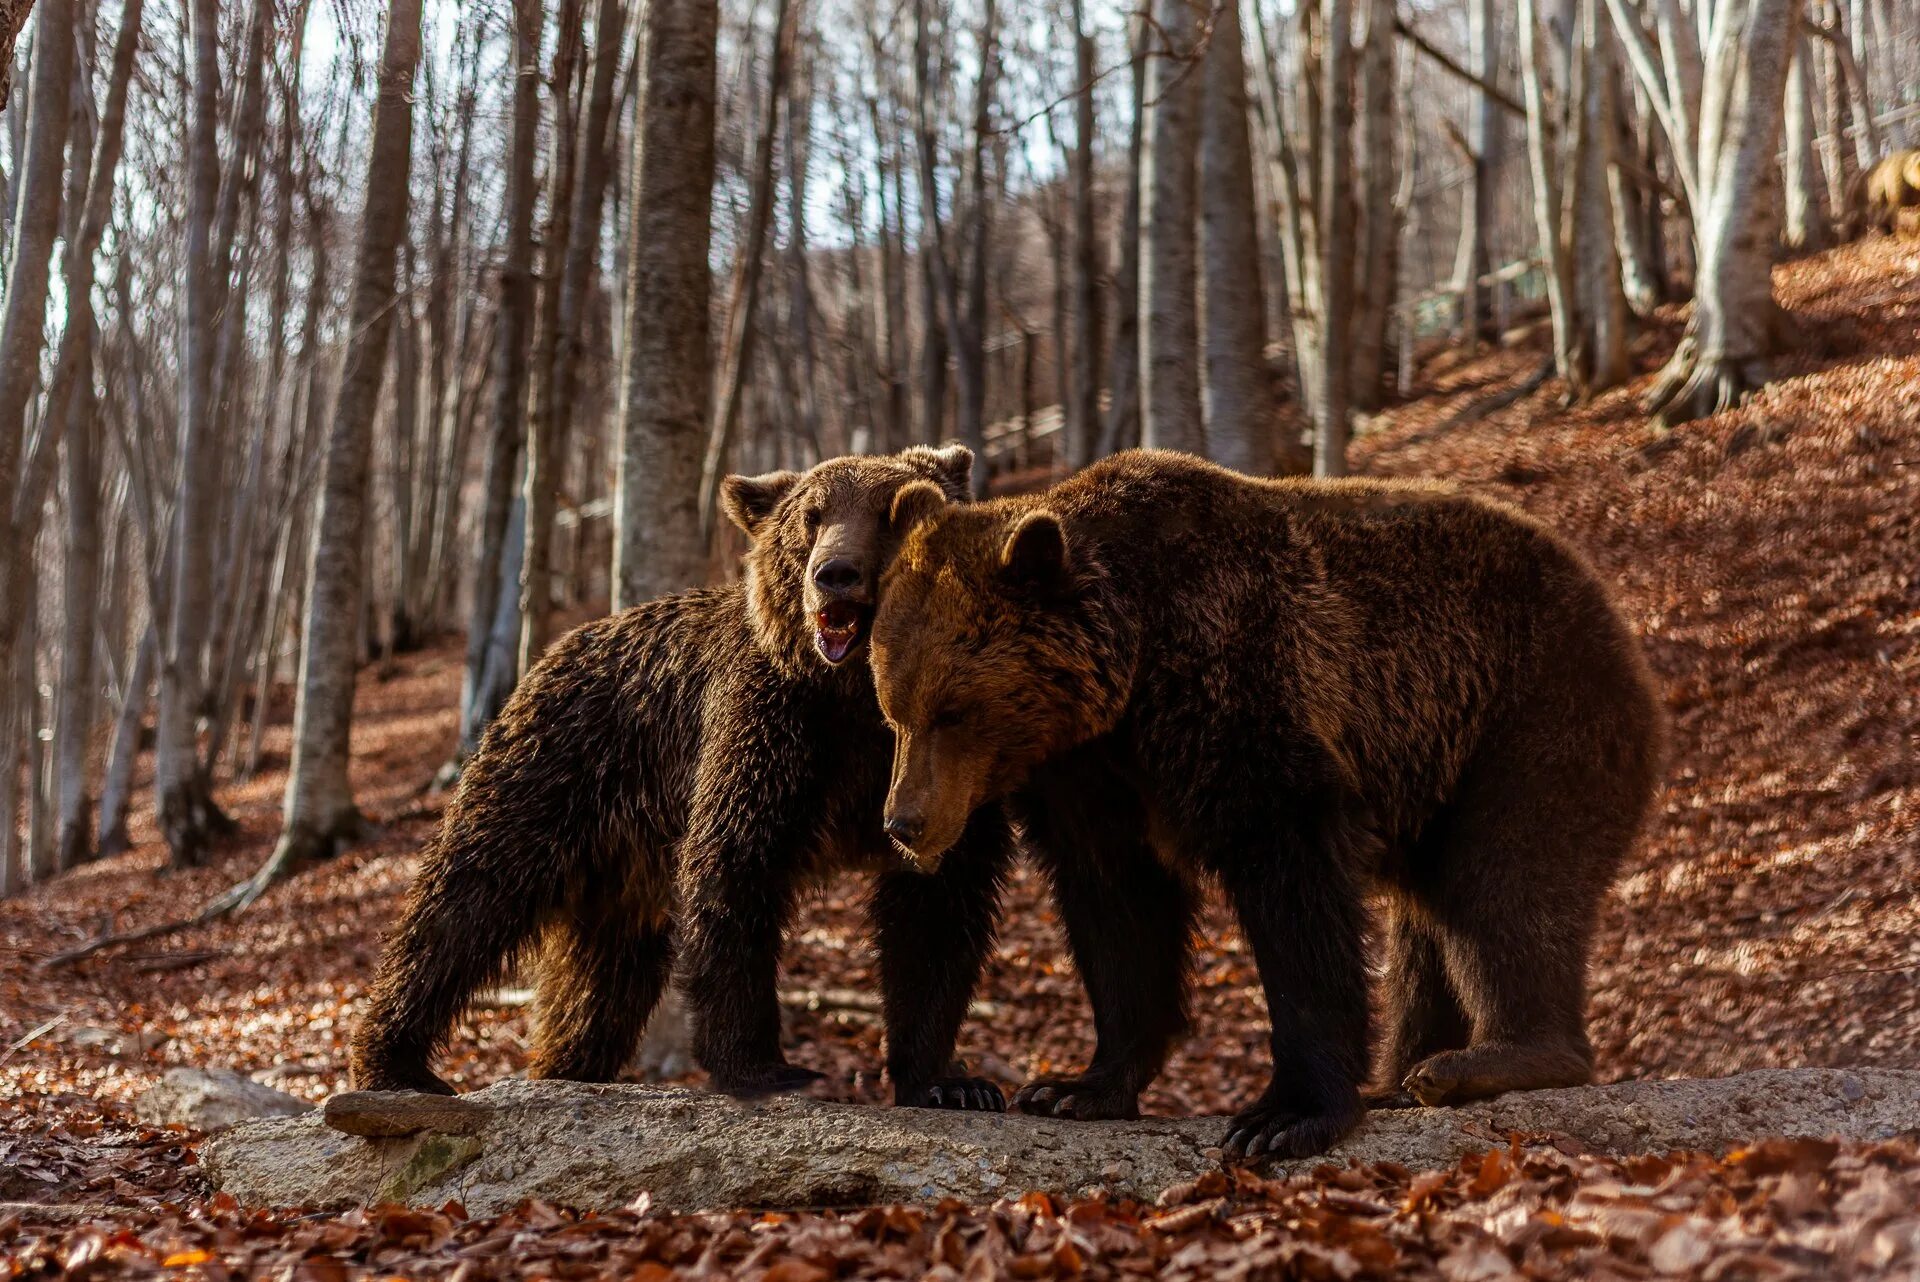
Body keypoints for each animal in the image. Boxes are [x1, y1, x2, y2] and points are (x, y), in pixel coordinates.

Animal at [347, 449, 1013, 1113]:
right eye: (812, 515)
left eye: (891, 513)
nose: (835, 574)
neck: (856, 698)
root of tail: (551, 651)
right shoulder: (771, 735)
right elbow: (735, 871)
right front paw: (762, 1065)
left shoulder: (951, 757)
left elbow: (938, 906)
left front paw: (951, 1081)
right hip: (554, 773)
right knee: (466, 902)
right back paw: (394, 1061)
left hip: (622, 867)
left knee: (601, 977)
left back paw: (567, 1066)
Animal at [871, 452, 1666, 1159]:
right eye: (893, 708)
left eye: (953, 710)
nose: (904, 823)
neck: (1131, 675)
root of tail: (1614, 614)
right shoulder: (1094, 780)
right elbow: (1122, 914)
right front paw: (1076, 1086)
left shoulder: (1240, 690)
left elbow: (1293, 888)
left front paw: (1284, 1116)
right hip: (1440, 773)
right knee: (1429, 922)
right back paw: (1401, 1079)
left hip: (1526, 713)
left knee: (1503, 883)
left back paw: (1491, 1059)